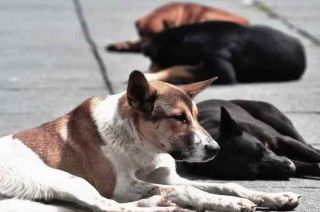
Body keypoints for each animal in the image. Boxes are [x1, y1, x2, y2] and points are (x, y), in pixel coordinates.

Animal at [0, 71, 300, 212]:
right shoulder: (120, 186)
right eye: (179, 118)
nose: (215, 149)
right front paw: (228, 204)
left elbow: (228, 185)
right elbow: (192, 191)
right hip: (66, 179)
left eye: (196, 116)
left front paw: (273, 197)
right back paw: (158, 205)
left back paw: (155, 204)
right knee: (109, 207)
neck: (141, 145)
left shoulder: (169, 177)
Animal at [106, 2, 249, 52]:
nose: (144, 48)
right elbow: (134, 42)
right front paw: (122, 44)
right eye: (140, 34)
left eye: (155, 34)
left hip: (207, 17)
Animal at [179, 100, 320, 180]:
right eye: (255, 174)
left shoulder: (284, 140)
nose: (290, 167)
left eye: (262, 149)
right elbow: (303, 165)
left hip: (278, 121)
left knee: (306, 144)